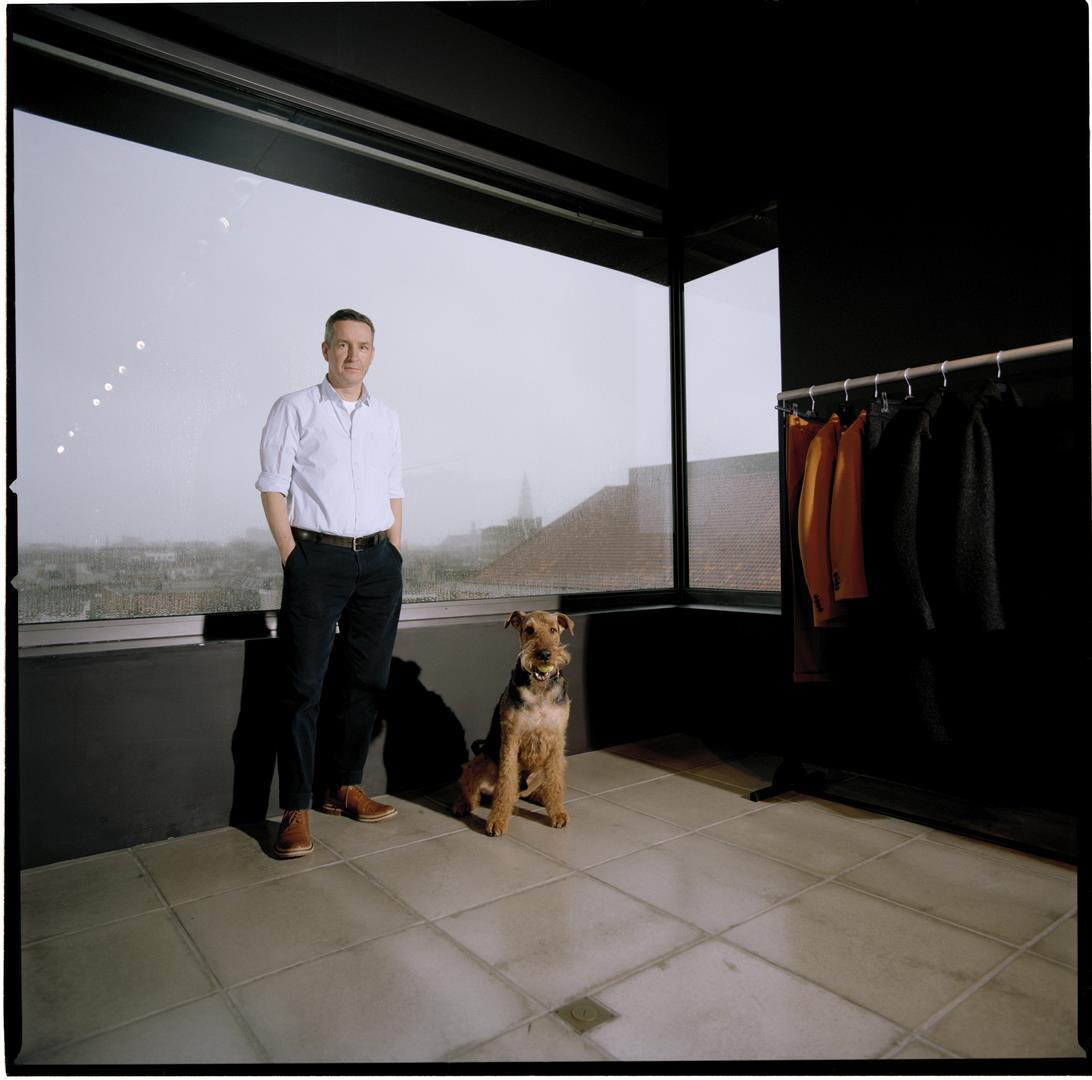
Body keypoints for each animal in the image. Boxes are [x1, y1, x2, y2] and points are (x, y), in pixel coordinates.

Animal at [452, 607, 576, 834]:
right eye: (529, 629)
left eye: (553, 630)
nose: (544, 655)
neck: (539, 690)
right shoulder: (511, 738)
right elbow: (506, 783)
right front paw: (497, 821)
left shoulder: (556, 740)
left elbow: (555, 783)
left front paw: (558, 814)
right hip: (482, 759)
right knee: (472, 786)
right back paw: (463, 804)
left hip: (543, 768)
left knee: (533, 789)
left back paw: (539, 797)